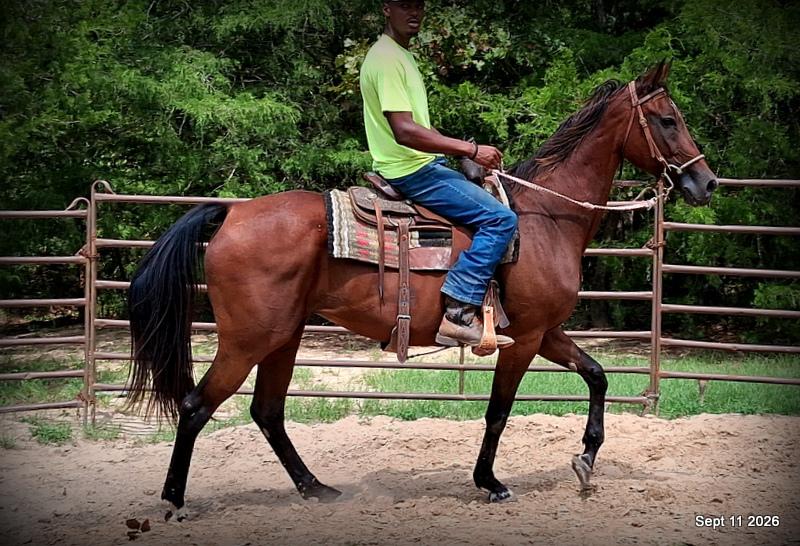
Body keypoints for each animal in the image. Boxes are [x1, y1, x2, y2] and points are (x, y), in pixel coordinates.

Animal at [127, 62, 717, 519]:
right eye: (668, 120)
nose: (706, 182)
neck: (546, 217)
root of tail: (232, 213)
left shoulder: (545, 331)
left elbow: (597, 375)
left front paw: (587, 459)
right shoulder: (524, 338)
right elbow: (499, 411)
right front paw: (490, 483)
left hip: (283, 337)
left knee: (267, 411)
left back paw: (317, 488)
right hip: (249, 338)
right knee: (197, 406)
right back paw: (174, 501)